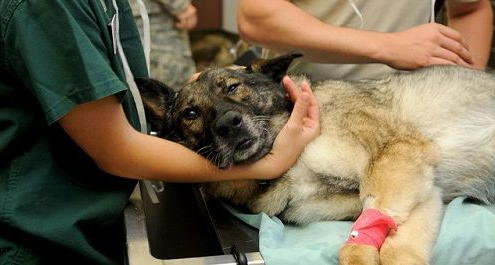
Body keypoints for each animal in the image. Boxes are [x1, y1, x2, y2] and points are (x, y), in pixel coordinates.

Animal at [135, 52, 495, 262]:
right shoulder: (421, 190)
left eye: (233, 87)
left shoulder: (396, 157)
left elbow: (372, 239)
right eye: (190, 113)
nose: (228, 124)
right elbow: (395, 243)